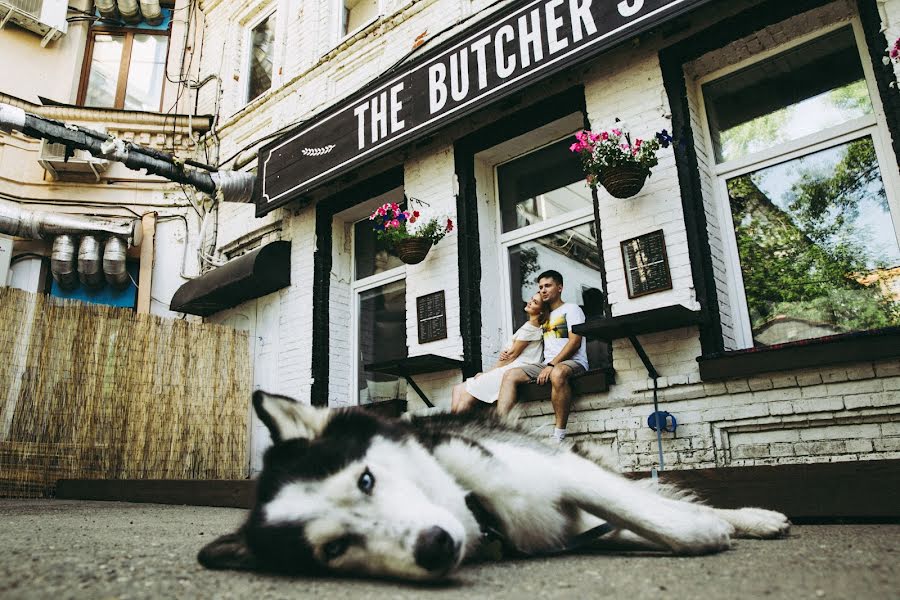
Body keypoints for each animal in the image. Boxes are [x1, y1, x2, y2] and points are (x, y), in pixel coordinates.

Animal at [200, 392, 792, 580]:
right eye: (335, 548)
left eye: (366, 479)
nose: (434, 547)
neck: (475, 508)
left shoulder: (561, 471)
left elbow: (651, 514)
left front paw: (705, 533)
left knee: (647, 498)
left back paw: (754, 519)